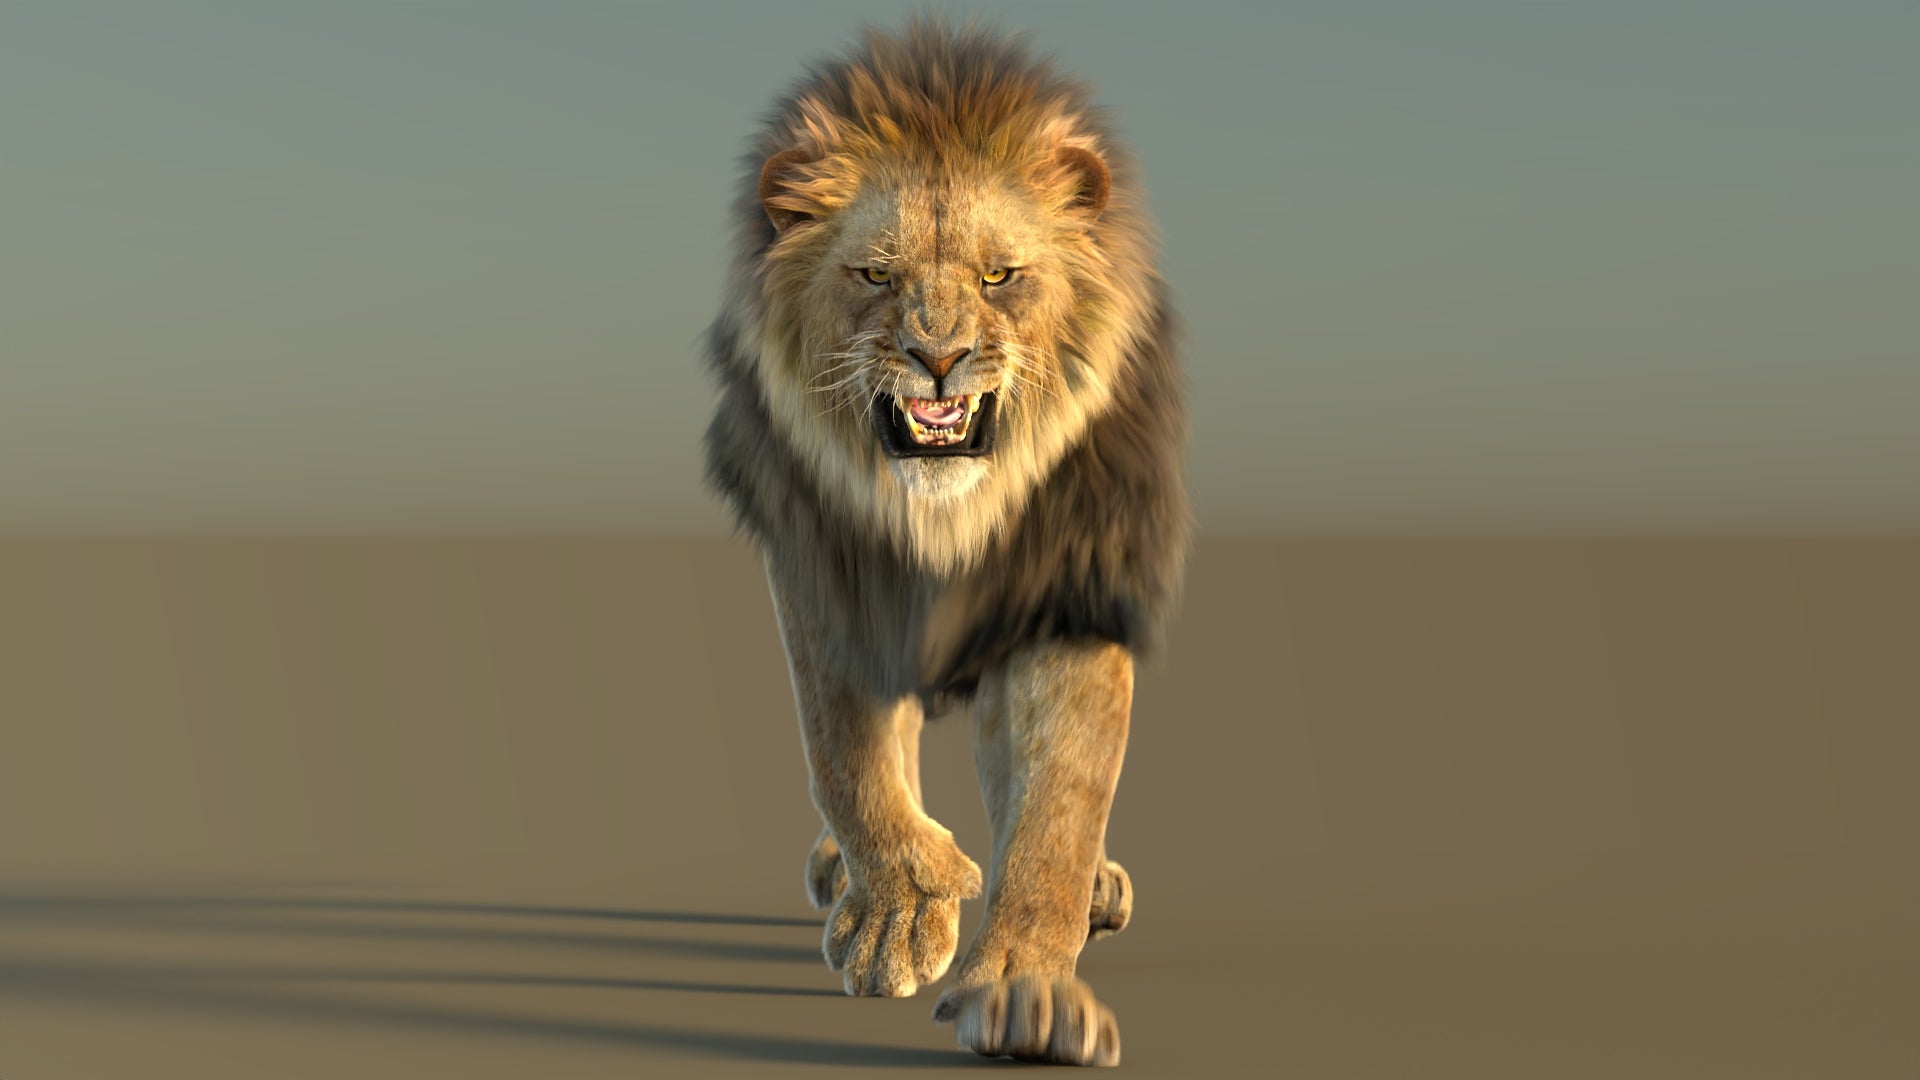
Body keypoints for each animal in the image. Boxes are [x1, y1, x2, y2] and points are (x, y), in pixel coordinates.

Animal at [703, 19, 1187, 1067]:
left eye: (999, 276)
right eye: (875, 273)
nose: (938, 356)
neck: (943, 516)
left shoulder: (1071, 579)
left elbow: (1059, 803)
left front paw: (1025, 991)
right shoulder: (824, 562)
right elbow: (845, 752)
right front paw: (901, 904)